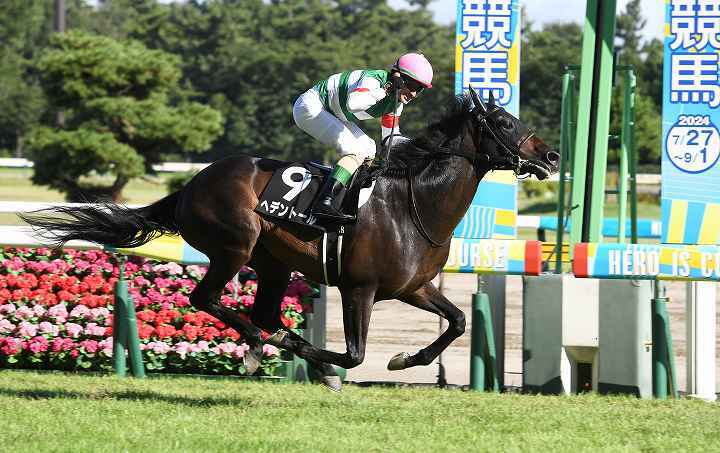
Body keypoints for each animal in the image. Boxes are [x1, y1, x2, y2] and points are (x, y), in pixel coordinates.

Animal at [22, 87, 560, 388]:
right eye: (504, 121)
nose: (552, 156)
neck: (413, 205)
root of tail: (192, 184)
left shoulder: (412, 286)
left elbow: (458, 322)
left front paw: (406, 358)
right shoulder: (359, 288)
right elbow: (354, 354)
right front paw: (327, 368)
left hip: (273, 263)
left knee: (261, 310)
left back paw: (272, 339)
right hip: (233, 245)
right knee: (207, 299)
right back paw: (259, 346)